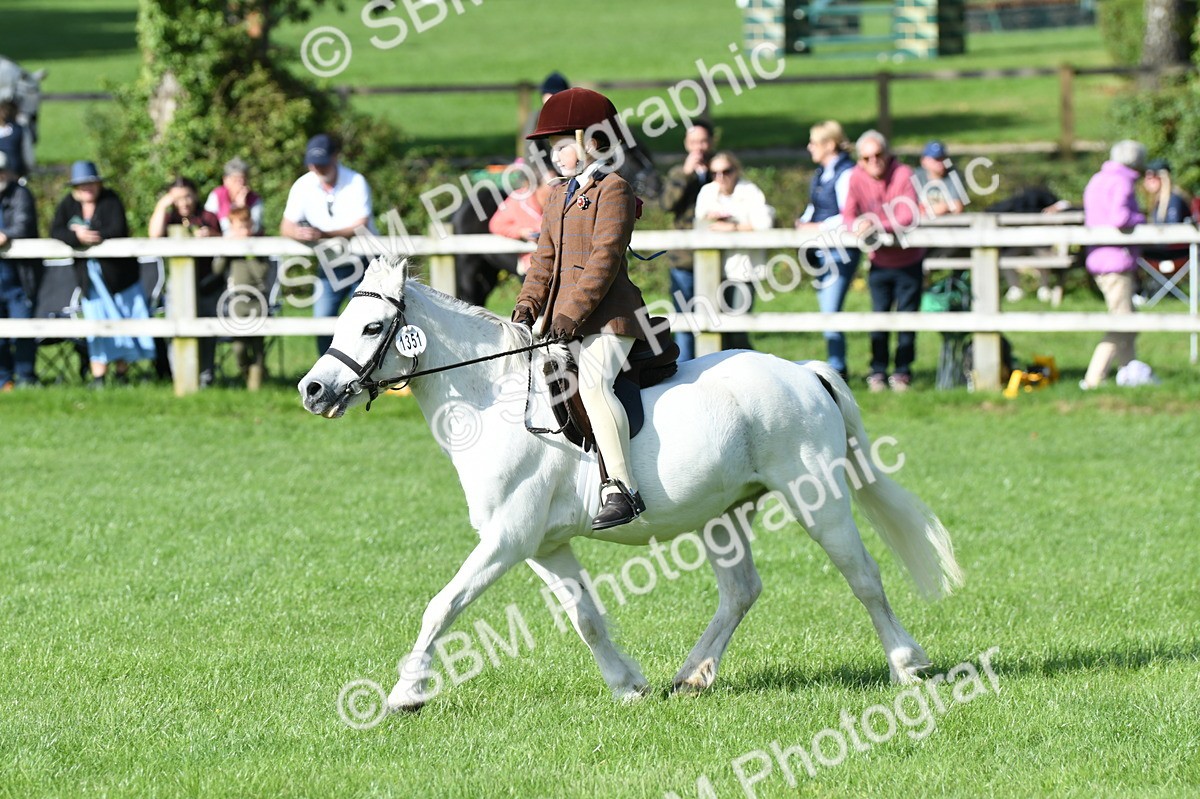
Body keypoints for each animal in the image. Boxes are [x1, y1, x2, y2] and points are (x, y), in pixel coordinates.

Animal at [299, 257, 962, 711]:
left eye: (373, 327)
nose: (313, 390)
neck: (494, 400)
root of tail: (802, 372)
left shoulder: (507, 541)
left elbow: (442, 605)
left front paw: (405, 694)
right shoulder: (543, 546)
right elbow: (585, 617)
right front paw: (628, 686)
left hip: (815, 498)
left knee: (863, 576)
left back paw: (907, 665)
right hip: (722, 514)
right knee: (741, 590)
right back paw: (691, 676)